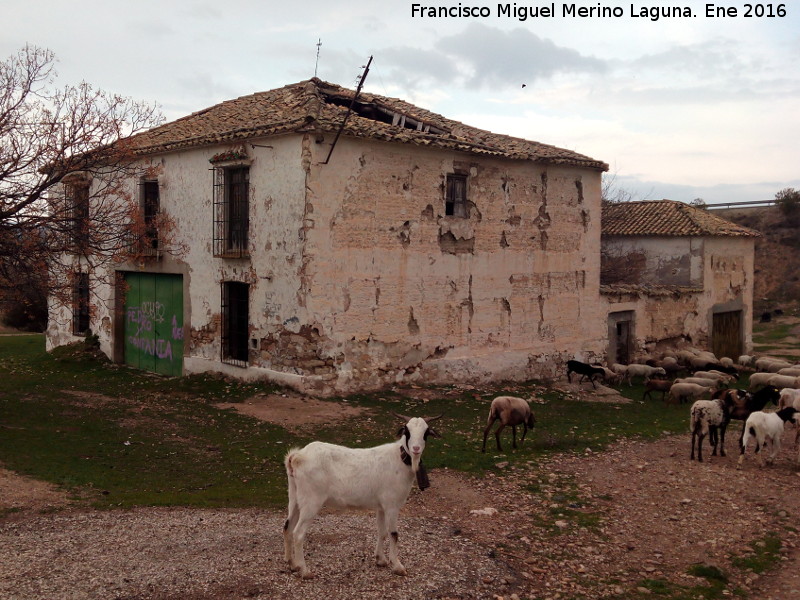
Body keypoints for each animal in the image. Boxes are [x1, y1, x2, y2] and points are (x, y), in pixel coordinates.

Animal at [282, 414, 444, 580]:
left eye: (426, 432)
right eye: (407, 430)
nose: (416, 449)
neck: (399, 459)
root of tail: (297, 456)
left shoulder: (381, 506)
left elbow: (382, 532)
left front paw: (381, 559)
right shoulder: (392, 505)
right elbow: (394, 534)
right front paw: (398, 566)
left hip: (294, 496)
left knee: (287, 526)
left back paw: (292, 564)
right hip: (311, 500)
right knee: (298, 533)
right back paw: (304, 571)